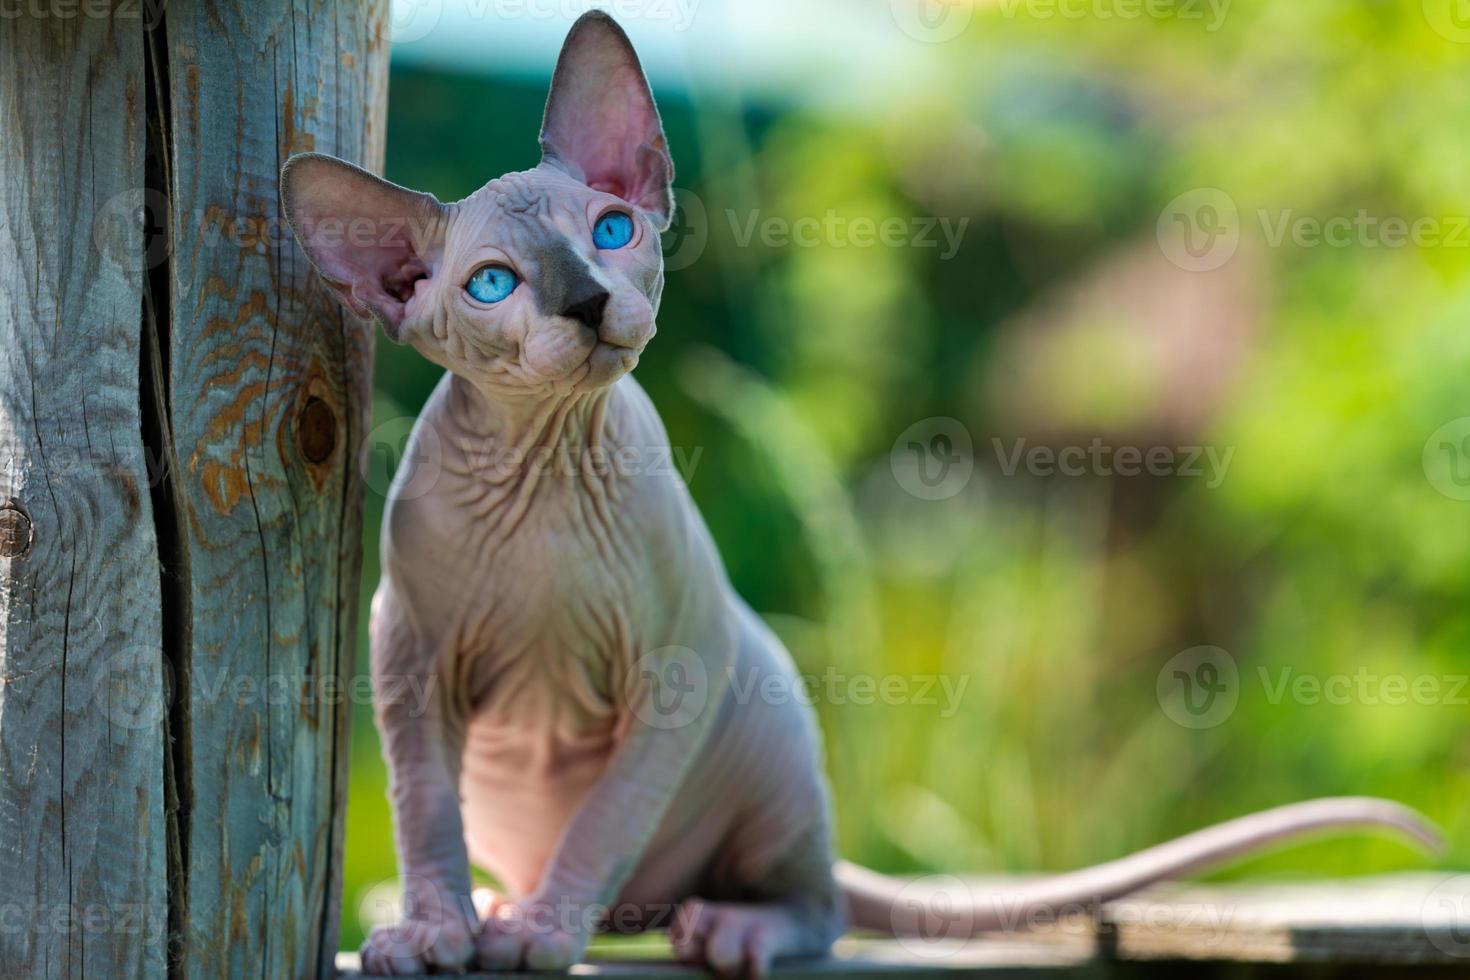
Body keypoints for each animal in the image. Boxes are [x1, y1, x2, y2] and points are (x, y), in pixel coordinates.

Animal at [280, 11, 1440, 975]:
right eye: (491, 283)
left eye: (611, 229)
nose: (586, 299)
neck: (546, 471)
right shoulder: (408, 654)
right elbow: (424, 807)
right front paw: (433, 929)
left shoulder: (680, 666)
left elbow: (604, 819)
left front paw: (542, 934)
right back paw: (499, 900)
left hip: (766, 730)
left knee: (817, 903)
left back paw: (727, 927)